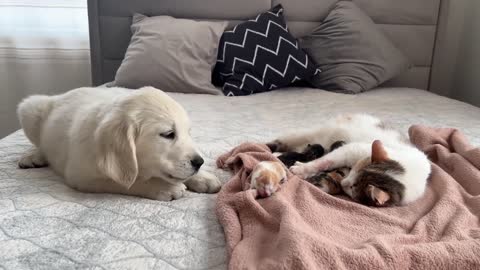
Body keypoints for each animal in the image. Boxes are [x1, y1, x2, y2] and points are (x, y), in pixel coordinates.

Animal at [16, 86, 222, 200]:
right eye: (168, 134)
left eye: (188, 132)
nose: (199, 162)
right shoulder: (81, 176)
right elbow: (125, 181)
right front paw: (164, 187)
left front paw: (203, 178)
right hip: (29, 108)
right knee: (39, 144)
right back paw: (34, 157)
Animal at [266, 114, 432, 207]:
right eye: (355, 170)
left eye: (353, 188)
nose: (343, 183)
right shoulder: (352, 149)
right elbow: (326, 161)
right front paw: (302, 169)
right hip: (311, 133)